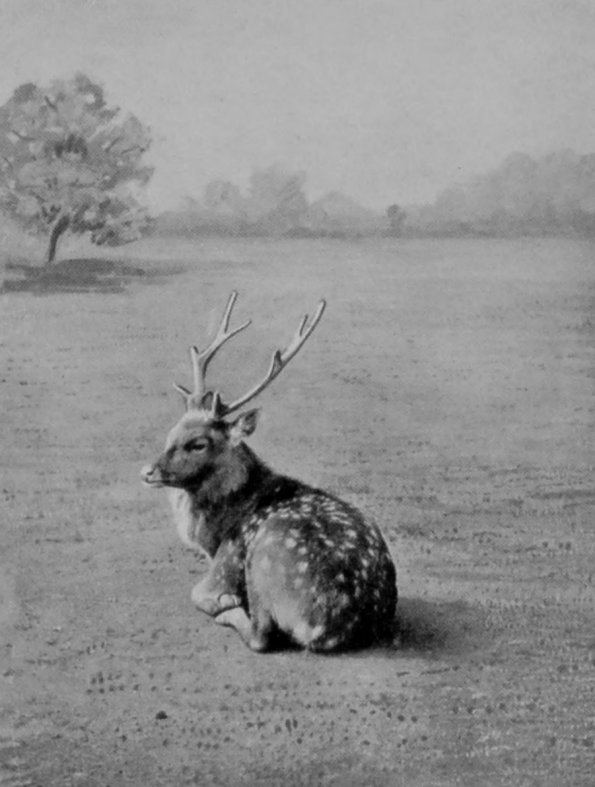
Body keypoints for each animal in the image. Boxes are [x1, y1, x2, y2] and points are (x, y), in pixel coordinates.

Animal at [141, 292, 397, 652]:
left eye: (198, 443)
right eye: (170, 433)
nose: (148, 471)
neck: (214, 532)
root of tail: (323, 627)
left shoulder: (226, 561)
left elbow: (199, 593)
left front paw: (225, 602)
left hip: (263, 557)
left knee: (261, 634)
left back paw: (230, 610)